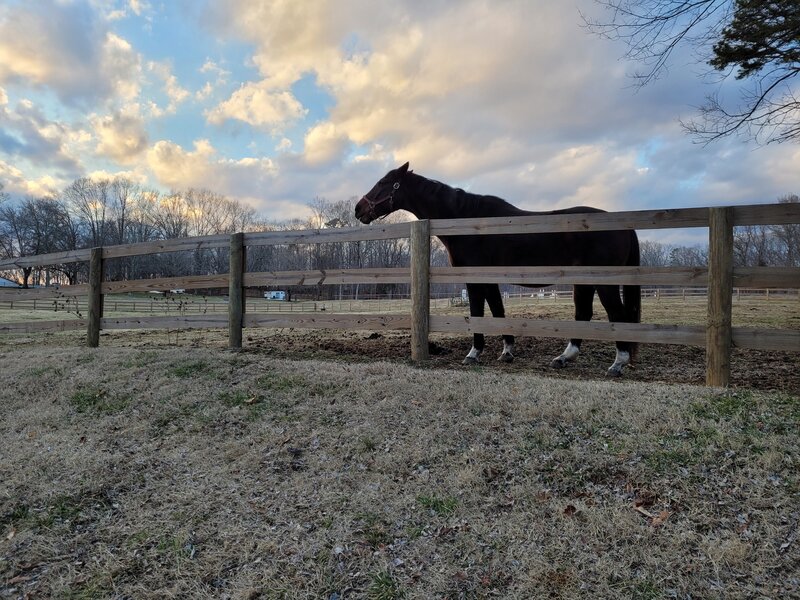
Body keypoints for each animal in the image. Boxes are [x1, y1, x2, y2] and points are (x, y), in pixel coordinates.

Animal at [354, 159, 640, 376]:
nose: (359, 209)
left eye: (383, 183)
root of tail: (624, 226)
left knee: (617, 315)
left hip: (604, 283)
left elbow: (478, 313)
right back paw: (563, 358)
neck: (467, 221)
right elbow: (498, 311)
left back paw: (617, 364)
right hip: (584, 282)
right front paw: (507, 352)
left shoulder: (475, 278)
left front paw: (473, 353)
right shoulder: (490, 279)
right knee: (584, 314)